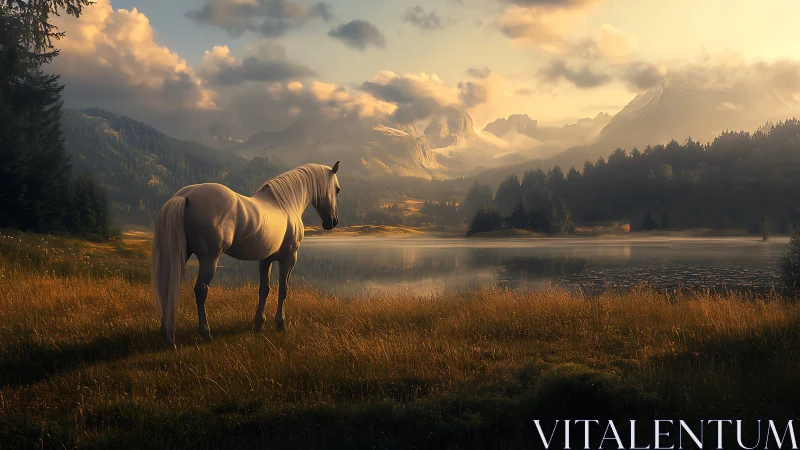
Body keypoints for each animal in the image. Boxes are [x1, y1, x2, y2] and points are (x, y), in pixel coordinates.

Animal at [151, 162, 341, 349]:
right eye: (337, 190)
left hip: (181, 254)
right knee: (201, 289)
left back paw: (167, 336)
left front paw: (259, 324)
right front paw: (281, 324)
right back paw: (205, 334)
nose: (332, 222)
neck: (285, 204)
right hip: (209, 259)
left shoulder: (265, 260)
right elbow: (283, 290)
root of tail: (186, 196)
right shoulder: (289, 258)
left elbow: (264, 289)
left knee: (168, 284)